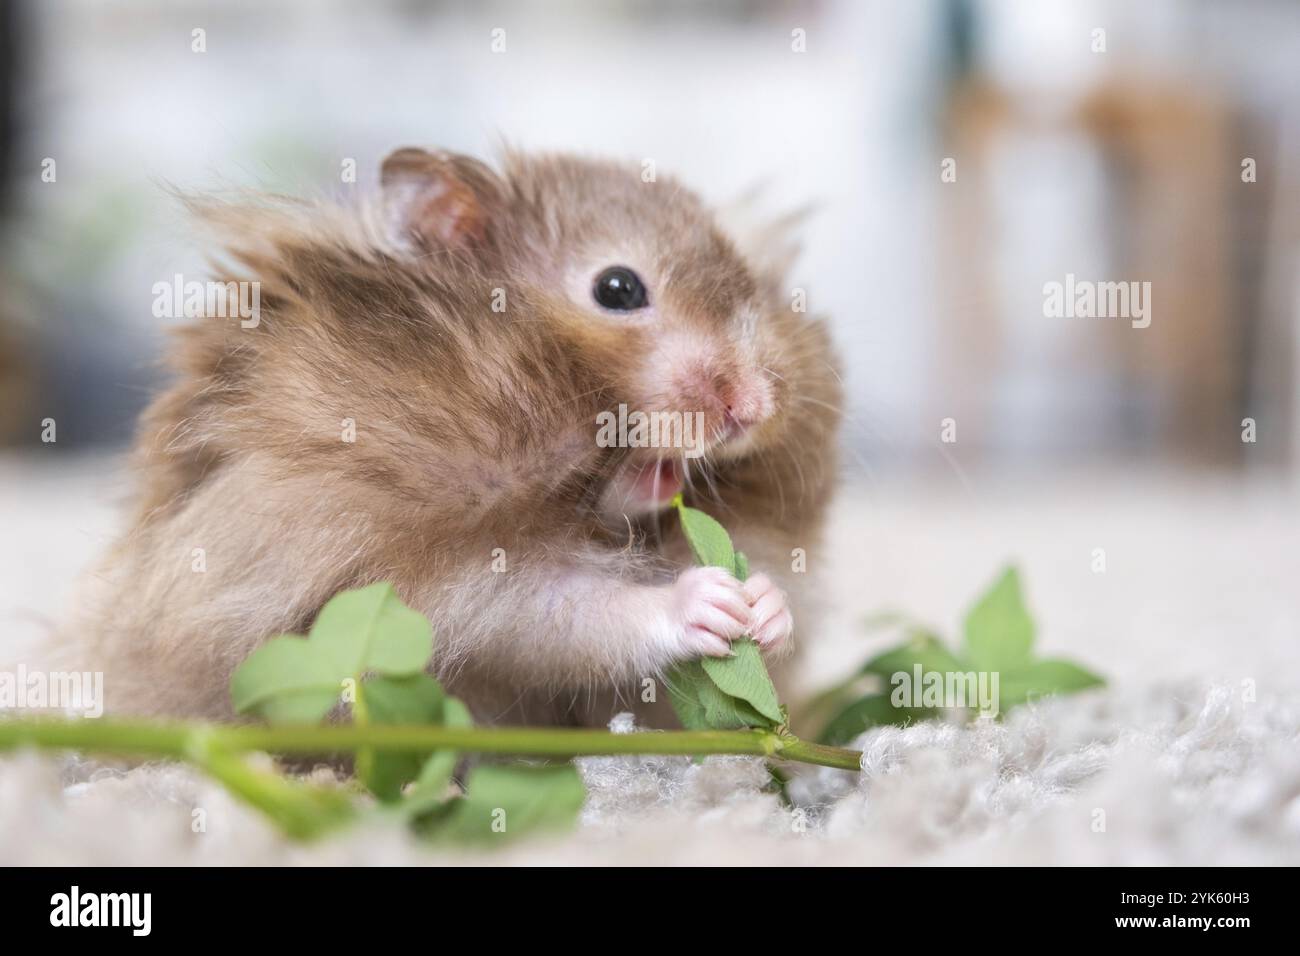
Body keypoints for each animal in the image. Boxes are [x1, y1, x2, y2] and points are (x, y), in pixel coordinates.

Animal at [71, 147, 842, 723]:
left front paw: (763, 606)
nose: (756, 404)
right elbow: (562, 612)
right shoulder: (410, 578)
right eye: (619, 289)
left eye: (751, 282)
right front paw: (710, 601)